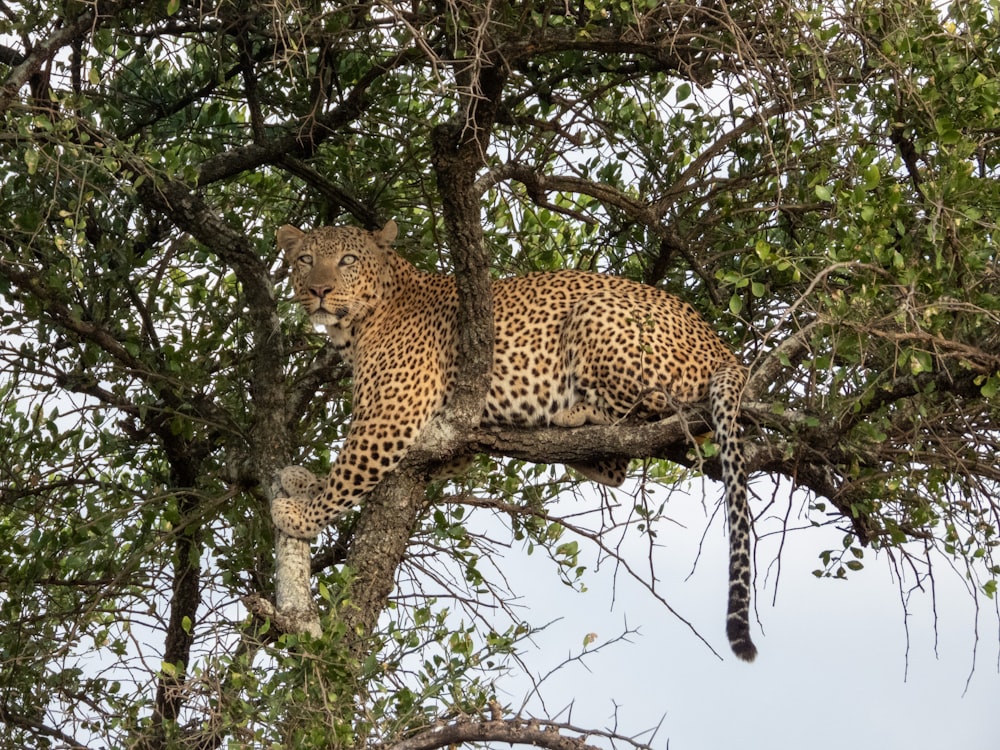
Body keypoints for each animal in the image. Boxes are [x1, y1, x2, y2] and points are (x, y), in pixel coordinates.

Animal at [270, 220, 752, 660]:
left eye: (348, 260)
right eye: (305, 260)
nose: (319, 290)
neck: (355, 328)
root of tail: (724, 348)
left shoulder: (392, 414)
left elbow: (348, 471)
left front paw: (298, 515)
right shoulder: (441, 441)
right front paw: (301, 480)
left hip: (595, 313)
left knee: (644, 411)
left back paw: (572, 411)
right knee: (617, 465)